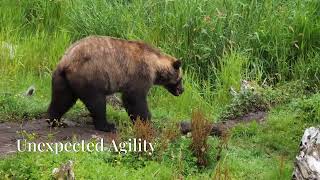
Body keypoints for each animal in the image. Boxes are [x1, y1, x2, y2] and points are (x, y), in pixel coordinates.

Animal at [46, 35, 184, 131]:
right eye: (181, 78)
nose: (182, 90)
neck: (156, 66)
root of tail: (66, 61)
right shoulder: (140, 73)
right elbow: (135, 99)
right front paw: (146, 122)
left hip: (63, 79)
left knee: (61, 99)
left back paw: (55, 121)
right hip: (90, 76)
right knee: (97, 102)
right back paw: (107, 126)